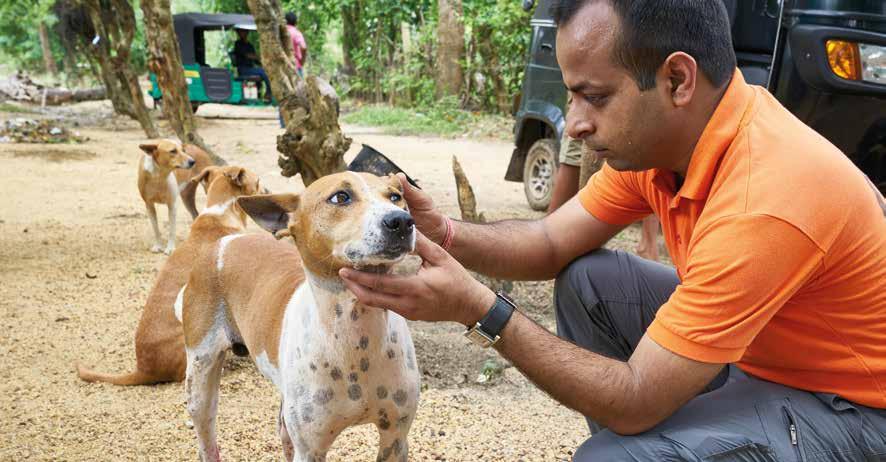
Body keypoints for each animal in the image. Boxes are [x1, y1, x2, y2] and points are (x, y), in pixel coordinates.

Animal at [179, 172, 422, 462]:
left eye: (396, 196)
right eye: (340, 197)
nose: (402, 221)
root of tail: (226, 241)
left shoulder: (395, 438)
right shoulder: (310, 449)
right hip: (200, 382)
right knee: (207, 441)